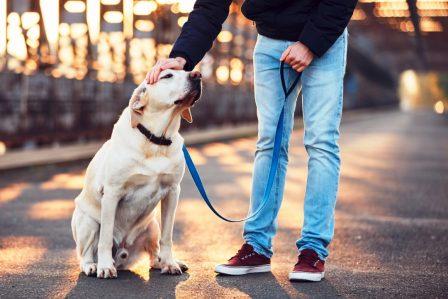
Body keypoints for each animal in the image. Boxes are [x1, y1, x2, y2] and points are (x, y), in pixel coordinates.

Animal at [71, 68, 201, 278]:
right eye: (167, 76)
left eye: (186, 70)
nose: (197, 75)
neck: (156, 140)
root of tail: (122, 257)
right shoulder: (112, 193)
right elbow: (105, 237)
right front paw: (105, 267)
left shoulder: (173, 191)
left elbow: (167, 237)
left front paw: (170, 263)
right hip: (87, 221)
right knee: (85, 253)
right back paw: (93, 265)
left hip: (152, 225)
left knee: (154, 252)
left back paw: (163, 262)